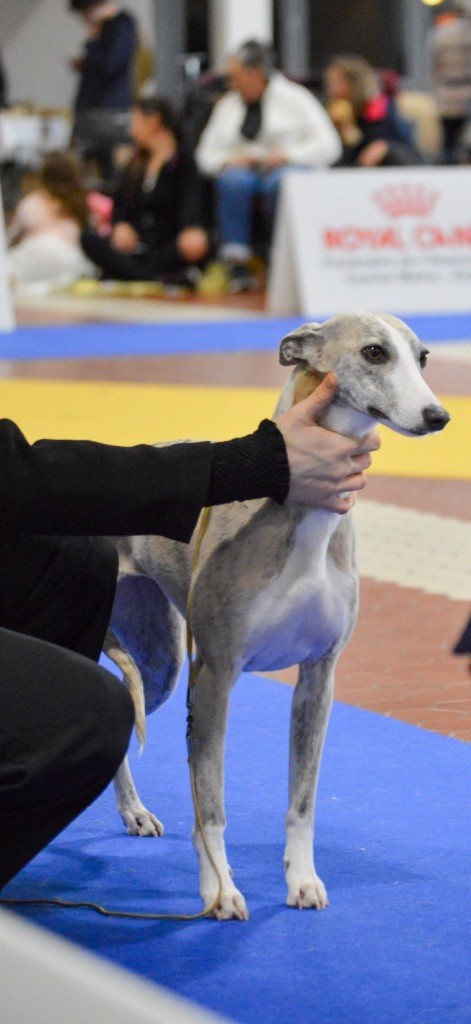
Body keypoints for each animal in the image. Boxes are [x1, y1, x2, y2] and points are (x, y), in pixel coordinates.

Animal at [105, 309, 448, 921]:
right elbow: (210, 804)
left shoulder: (318, 676)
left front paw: (303, 880)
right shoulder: (215, 676)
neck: (303, 516)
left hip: (160, 662)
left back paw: (133, 811)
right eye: (374, 352)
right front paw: (218, 890)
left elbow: (303, 802)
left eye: (424, 357)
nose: (438, 416)